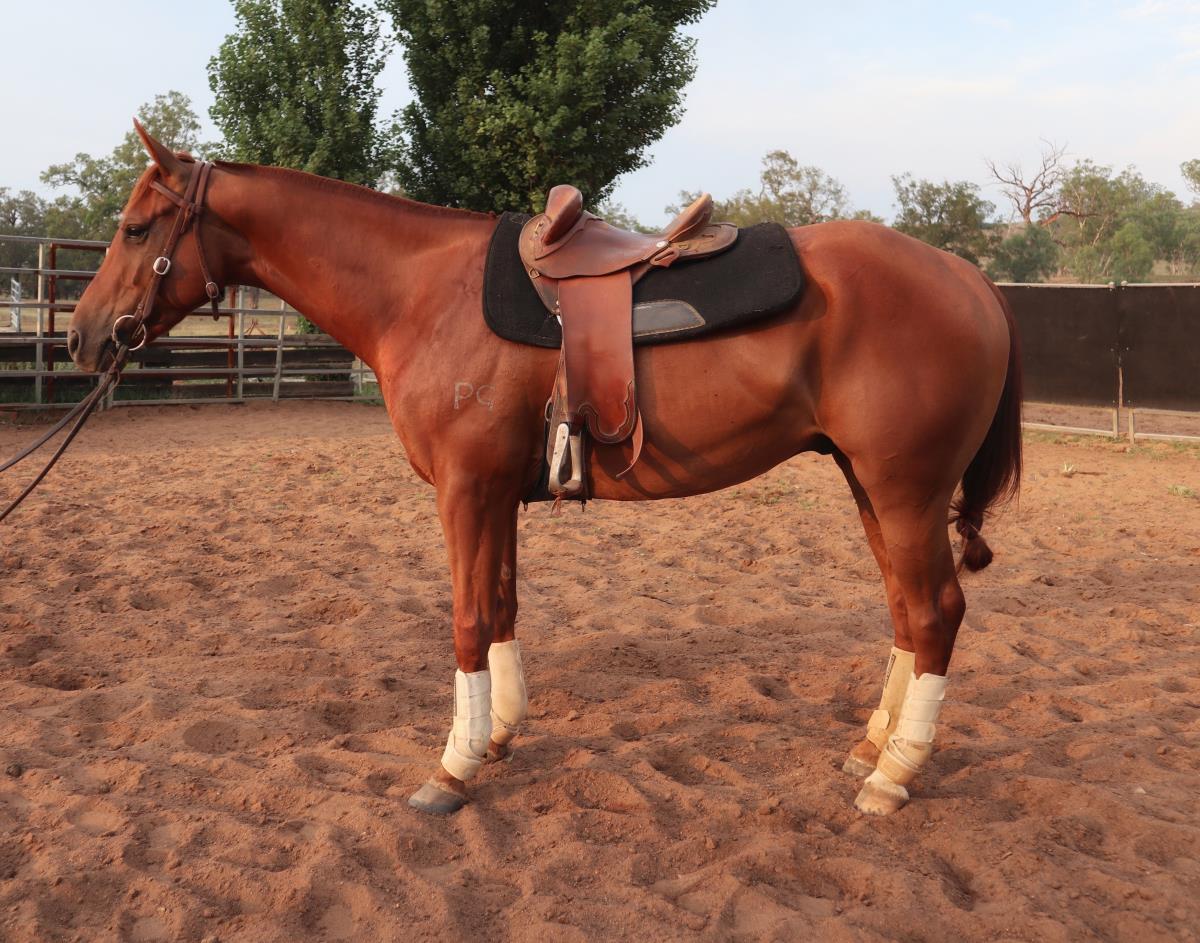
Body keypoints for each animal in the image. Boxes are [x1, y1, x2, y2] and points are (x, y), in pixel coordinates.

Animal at [66, 122, 1021, 817]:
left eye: (136, 228)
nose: (81, 336)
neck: (424, 292)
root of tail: (970, 278)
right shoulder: (497, 493)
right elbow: (503, 609)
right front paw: (496, 736)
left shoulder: (465, 489)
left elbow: (466, 619)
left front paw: (451, 769)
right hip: (872, 487)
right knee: (904, 612)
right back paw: (871, 747)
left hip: (904, 490)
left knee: (934, 612)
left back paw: (893, 775)